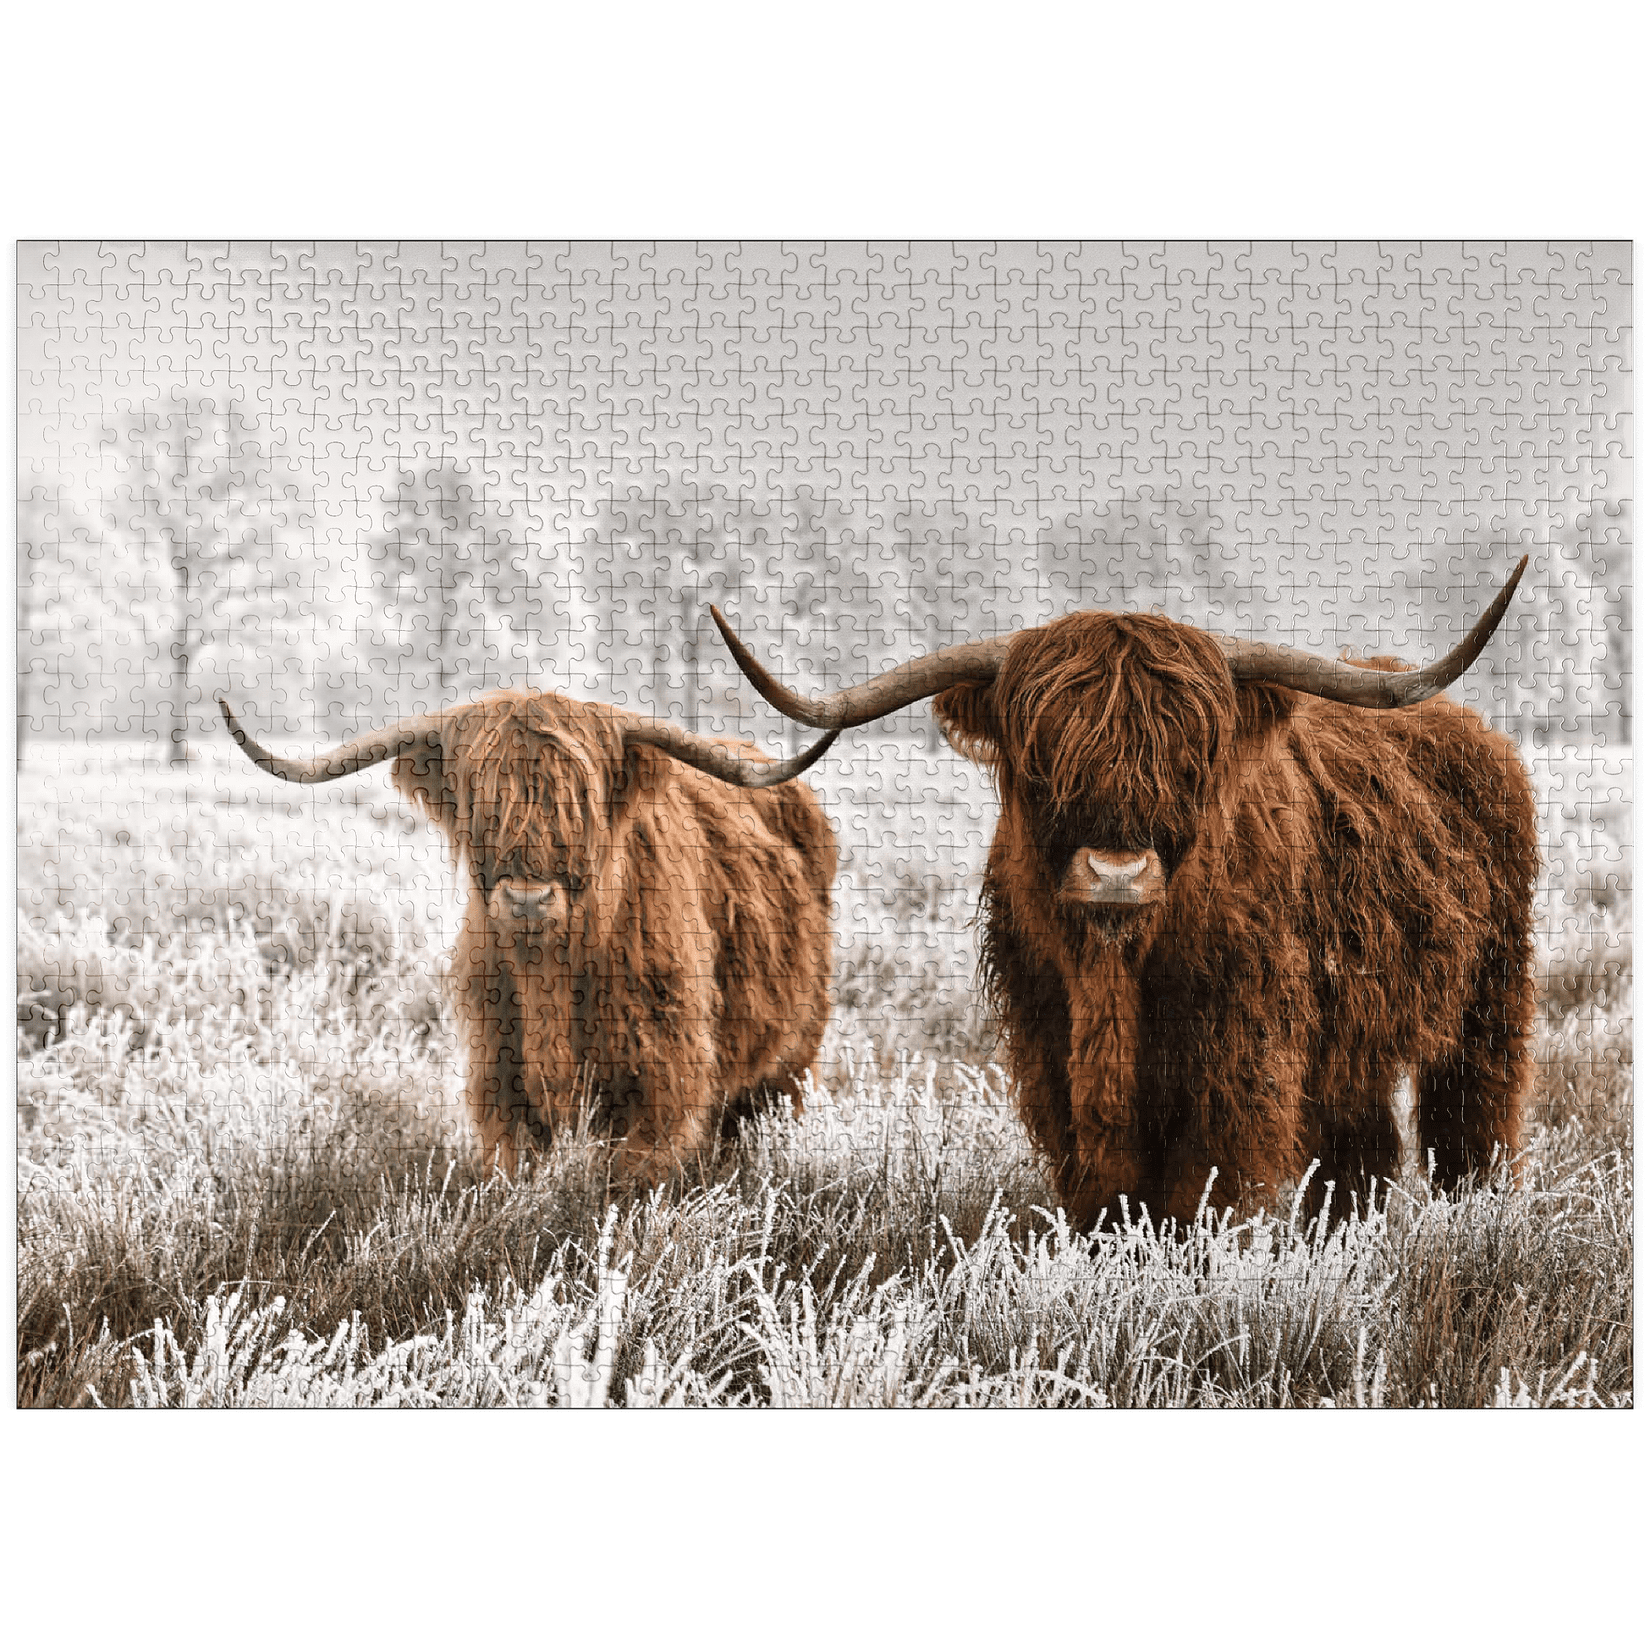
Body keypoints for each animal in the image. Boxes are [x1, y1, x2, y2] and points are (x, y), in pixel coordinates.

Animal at [219, 690, 839, 1183]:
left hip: (791, 1058)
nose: (527, 899)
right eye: (480, 801)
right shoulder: (500, 1081)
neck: (551, 975)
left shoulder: (661, 1086)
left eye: (580, 803)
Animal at [708, 559, 1537, 1229]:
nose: (1115, 874)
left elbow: (1205, 1192)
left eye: (1190, 758)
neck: (1116, 971)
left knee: (1472, 1123)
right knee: (1361, 1149)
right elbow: (1104, 1193)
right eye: (1041, 757)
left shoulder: (1241, 1060)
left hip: (1491, 998)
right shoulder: (1050, 1050)